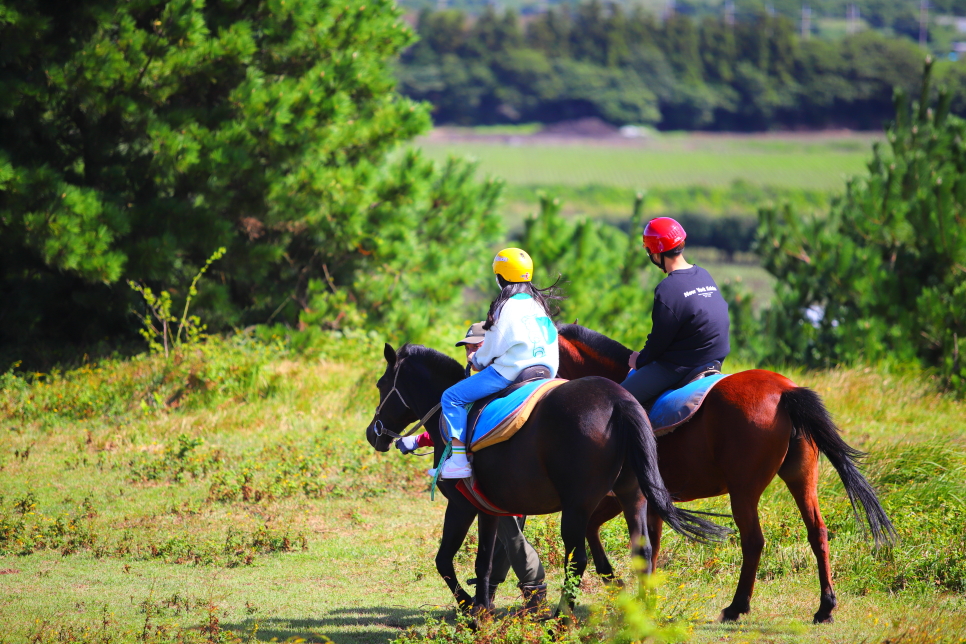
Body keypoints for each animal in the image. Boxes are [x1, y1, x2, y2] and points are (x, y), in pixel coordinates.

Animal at [366, 344, 728, 616]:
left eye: (382, 385)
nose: (373, 433)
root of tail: (620, 401)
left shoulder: (461, 506)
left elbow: (446, 560)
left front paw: (471, 607)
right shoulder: (492, 509)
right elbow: (487, 561)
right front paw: (485, 606)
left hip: (577, 507)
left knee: (577, 560)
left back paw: (561, 620)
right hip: (632, 496)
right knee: (642, 551)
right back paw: (640, 613)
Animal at [556, 324, 896, 620]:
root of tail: (786, 391)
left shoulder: (619, 495)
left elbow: (619, 539)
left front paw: (622, 585)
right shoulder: (644, 501)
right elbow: (644, 545)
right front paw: (634, 592)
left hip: (743, 490)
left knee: (754, 541)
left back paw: (737, 607)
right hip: (801, 478)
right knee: (818, 532)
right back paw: (825, 607)